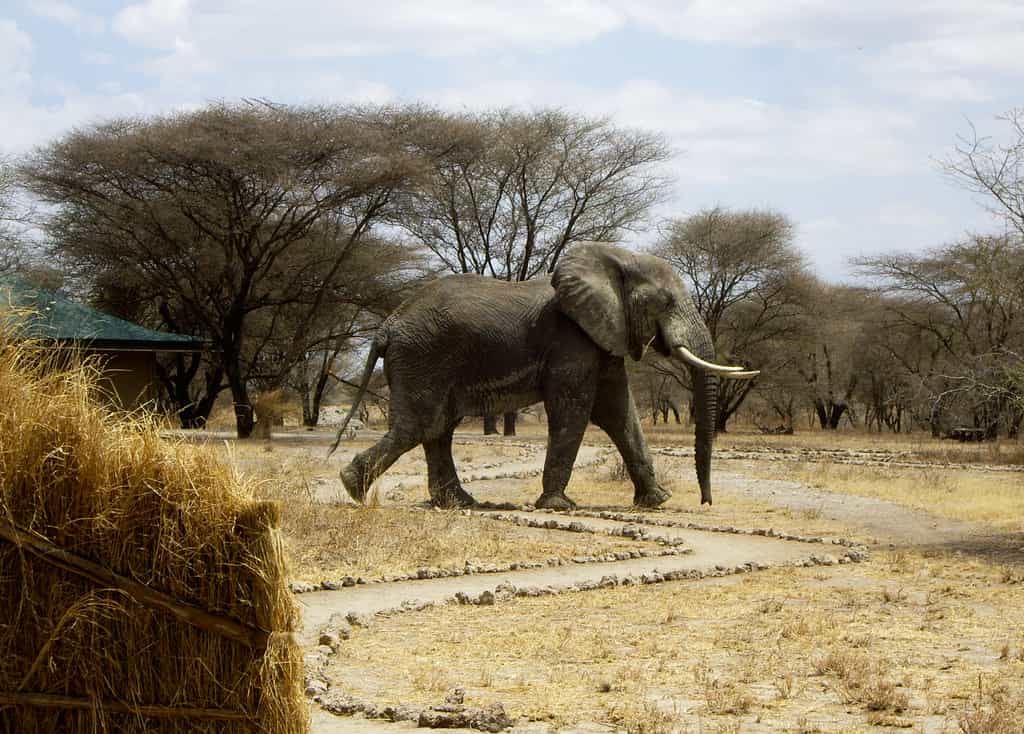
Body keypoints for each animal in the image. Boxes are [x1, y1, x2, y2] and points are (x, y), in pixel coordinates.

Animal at [328, 242, 758, 510]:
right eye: (665, 303)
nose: (706, 502)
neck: (615, 256)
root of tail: (387, 326)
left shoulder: (602, 336)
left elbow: (619, 413)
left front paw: (658, 500)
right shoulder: (571, 340)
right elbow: (575, 409)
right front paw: (559, 506)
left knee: (437, 428)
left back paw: (457, 503)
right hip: (422, 357)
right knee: (420, 425)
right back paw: (352, 488)